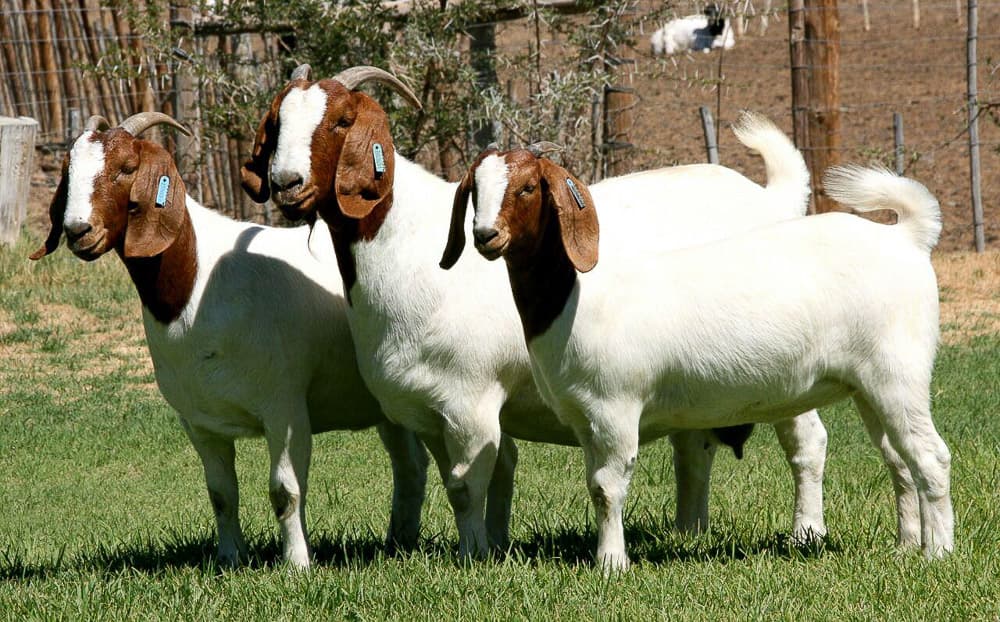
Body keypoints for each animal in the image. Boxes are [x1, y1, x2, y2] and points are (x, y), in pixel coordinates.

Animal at [30, 112, 429, 569]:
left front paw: (297, 564)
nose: (79, 230)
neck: (199, 282)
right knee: (410, 464)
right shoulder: (199, 420)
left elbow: (285, 491)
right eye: (67, 173)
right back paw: (399, 542)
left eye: (126, 168)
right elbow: (221, 494)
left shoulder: (284, 407)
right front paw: (229, 559)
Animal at [242, 65, 830, 558]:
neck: (407, 250)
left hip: (785, 366)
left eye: (341, 120)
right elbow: (485, 475)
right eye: (277, 121)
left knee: (807, 441)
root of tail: (772, 201)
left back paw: (805, 533)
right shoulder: (430, 408)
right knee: (695, 445)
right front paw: (495, 546)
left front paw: (474, 555)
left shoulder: (470, 397)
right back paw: (689, 530)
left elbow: (467, 484)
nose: (288, 184)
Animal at [448, 148, 952, 571]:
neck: (575, 295)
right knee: (899, 457)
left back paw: (938, 554)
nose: (486, 235)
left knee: (931, 456)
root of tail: (906, 238)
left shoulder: (615, 408)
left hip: (899, 371)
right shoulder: (585, 417)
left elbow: (609, 487)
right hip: (869, 385)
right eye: (475, 189)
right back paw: (908, 544)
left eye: (527, 187)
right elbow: (595, 485)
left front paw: (611, 564)